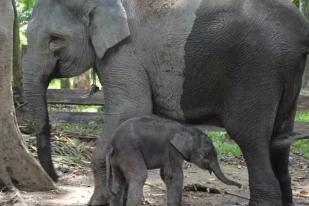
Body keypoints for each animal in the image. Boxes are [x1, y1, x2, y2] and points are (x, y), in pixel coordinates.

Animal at [106, 115, 241, 205]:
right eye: (206, 154)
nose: (240, 186)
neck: (186, 129)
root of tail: (112, 145)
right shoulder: (173, 151)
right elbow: (175, 176)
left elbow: (165, 175)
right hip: (130, 152)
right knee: (139, 177)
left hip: (117, 160)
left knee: (118, 183)